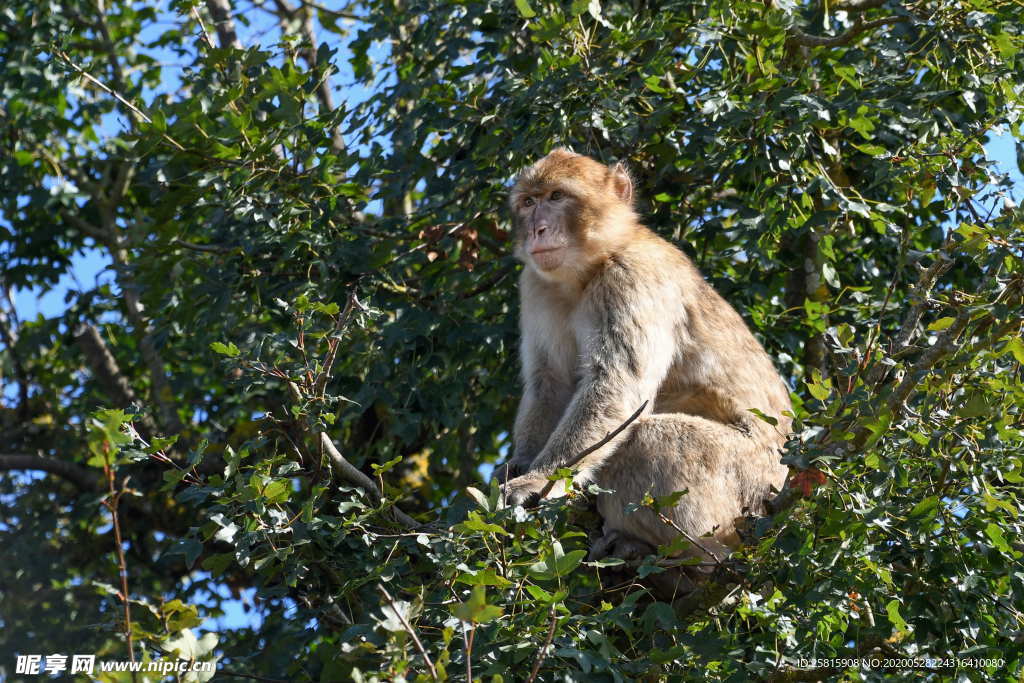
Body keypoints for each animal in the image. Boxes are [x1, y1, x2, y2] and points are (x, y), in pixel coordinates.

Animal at [495, 148, 790, 593]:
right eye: (529, 202)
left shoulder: (632, 277)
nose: (537, 229)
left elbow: (616, 386)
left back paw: (695, 563)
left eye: (557, 196)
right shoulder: (535, 285)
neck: (588, 271)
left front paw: (538, 480)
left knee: (650, 439)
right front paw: (519, 465)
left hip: (754, 488)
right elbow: (550, 384)